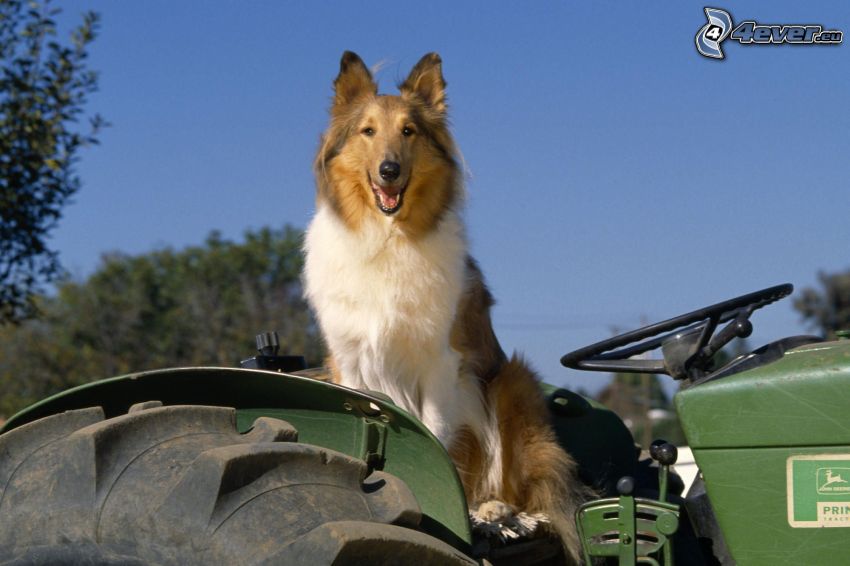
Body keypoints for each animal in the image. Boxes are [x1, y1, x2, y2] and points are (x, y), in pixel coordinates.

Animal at [304, 50, 588, 564]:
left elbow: (434, 439)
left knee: (525, 491)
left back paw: (493, 511)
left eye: (409, 131)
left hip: (512, 382)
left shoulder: (441, 360)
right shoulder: (348, 361)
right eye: (367, 131)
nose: (389, 170)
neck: (387, 239)